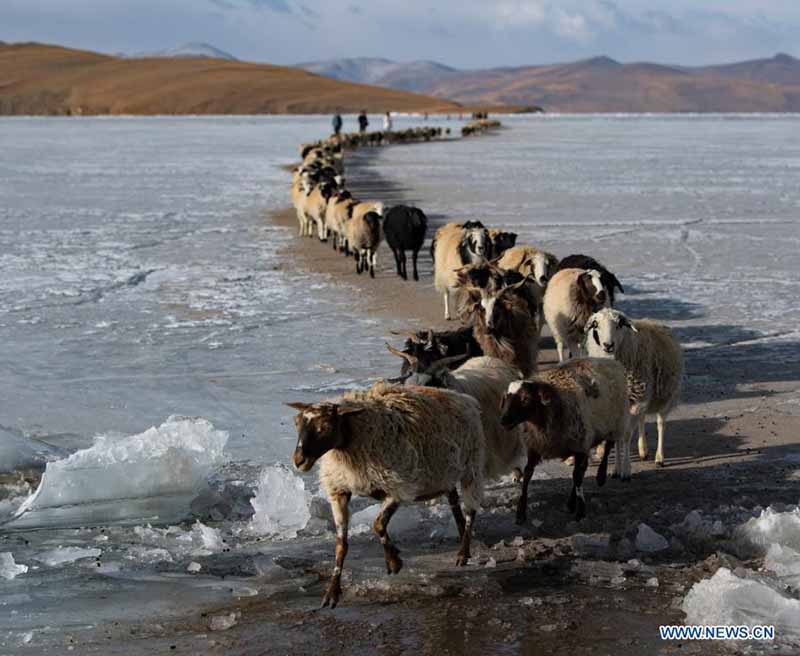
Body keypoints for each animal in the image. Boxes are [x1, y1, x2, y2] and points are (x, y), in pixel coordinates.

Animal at [288, 381, 485, 608]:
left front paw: (394, 562)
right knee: (454, 502)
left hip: (471, 467)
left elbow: (378, 525)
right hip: (445, 473)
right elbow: (341, 545)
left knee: (470, 510)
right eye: (297, 424)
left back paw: (463, 553)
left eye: (325, 427)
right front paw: (332, 593)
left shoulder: (397, 488)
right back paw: (462, 538)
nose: (299, 461)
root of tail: (462, 397)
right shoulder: (339, 490)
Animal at [499, 357, 630, 523]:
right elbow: (528, 474)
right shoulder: (536, 445)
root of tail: (610, 360)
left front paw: (580, 511)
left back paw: (600, 477)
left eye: (525, 399)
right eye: (506, 398)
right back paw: (571, 503)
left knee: (607, 447)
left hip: (614, 423)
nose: (503, 421)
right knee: (582, 468)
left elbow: (577, 477)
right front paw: (521, 513)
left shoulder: (579, 444)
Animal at [584, 308, 684, 476]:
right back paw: (643, 450)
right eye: (596, 324)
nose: (608, 345)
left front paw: (626, 470)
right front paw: (616, 470)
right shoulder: (620, 404)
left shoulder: (638, 400)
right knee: (642, 420)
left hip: (664, 397)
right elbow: (618, 436)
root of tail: (653, 320)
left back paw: (659, 458)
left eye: (619, 324)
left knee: (660, 424)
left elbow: (626, 435)